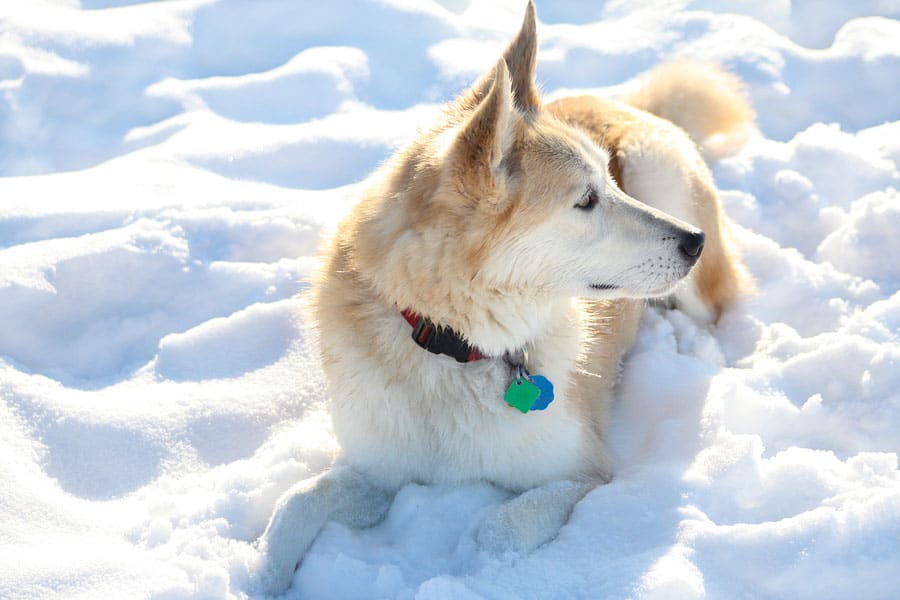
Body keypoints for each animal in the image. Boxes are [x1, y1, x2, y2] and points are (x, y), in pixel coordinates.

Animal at [258, 1, 752, 592]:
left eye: (609, 183)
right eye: (587, 200)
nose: (692, 242)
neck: (454, 346)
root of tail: (620, 99)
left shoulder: (583, 473)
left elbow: (499, 530)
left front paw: (472, 569)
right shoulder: (377, 469)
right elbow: (296, 503)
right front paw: (263, 578)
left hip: (665, 185)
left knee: (718, 309)